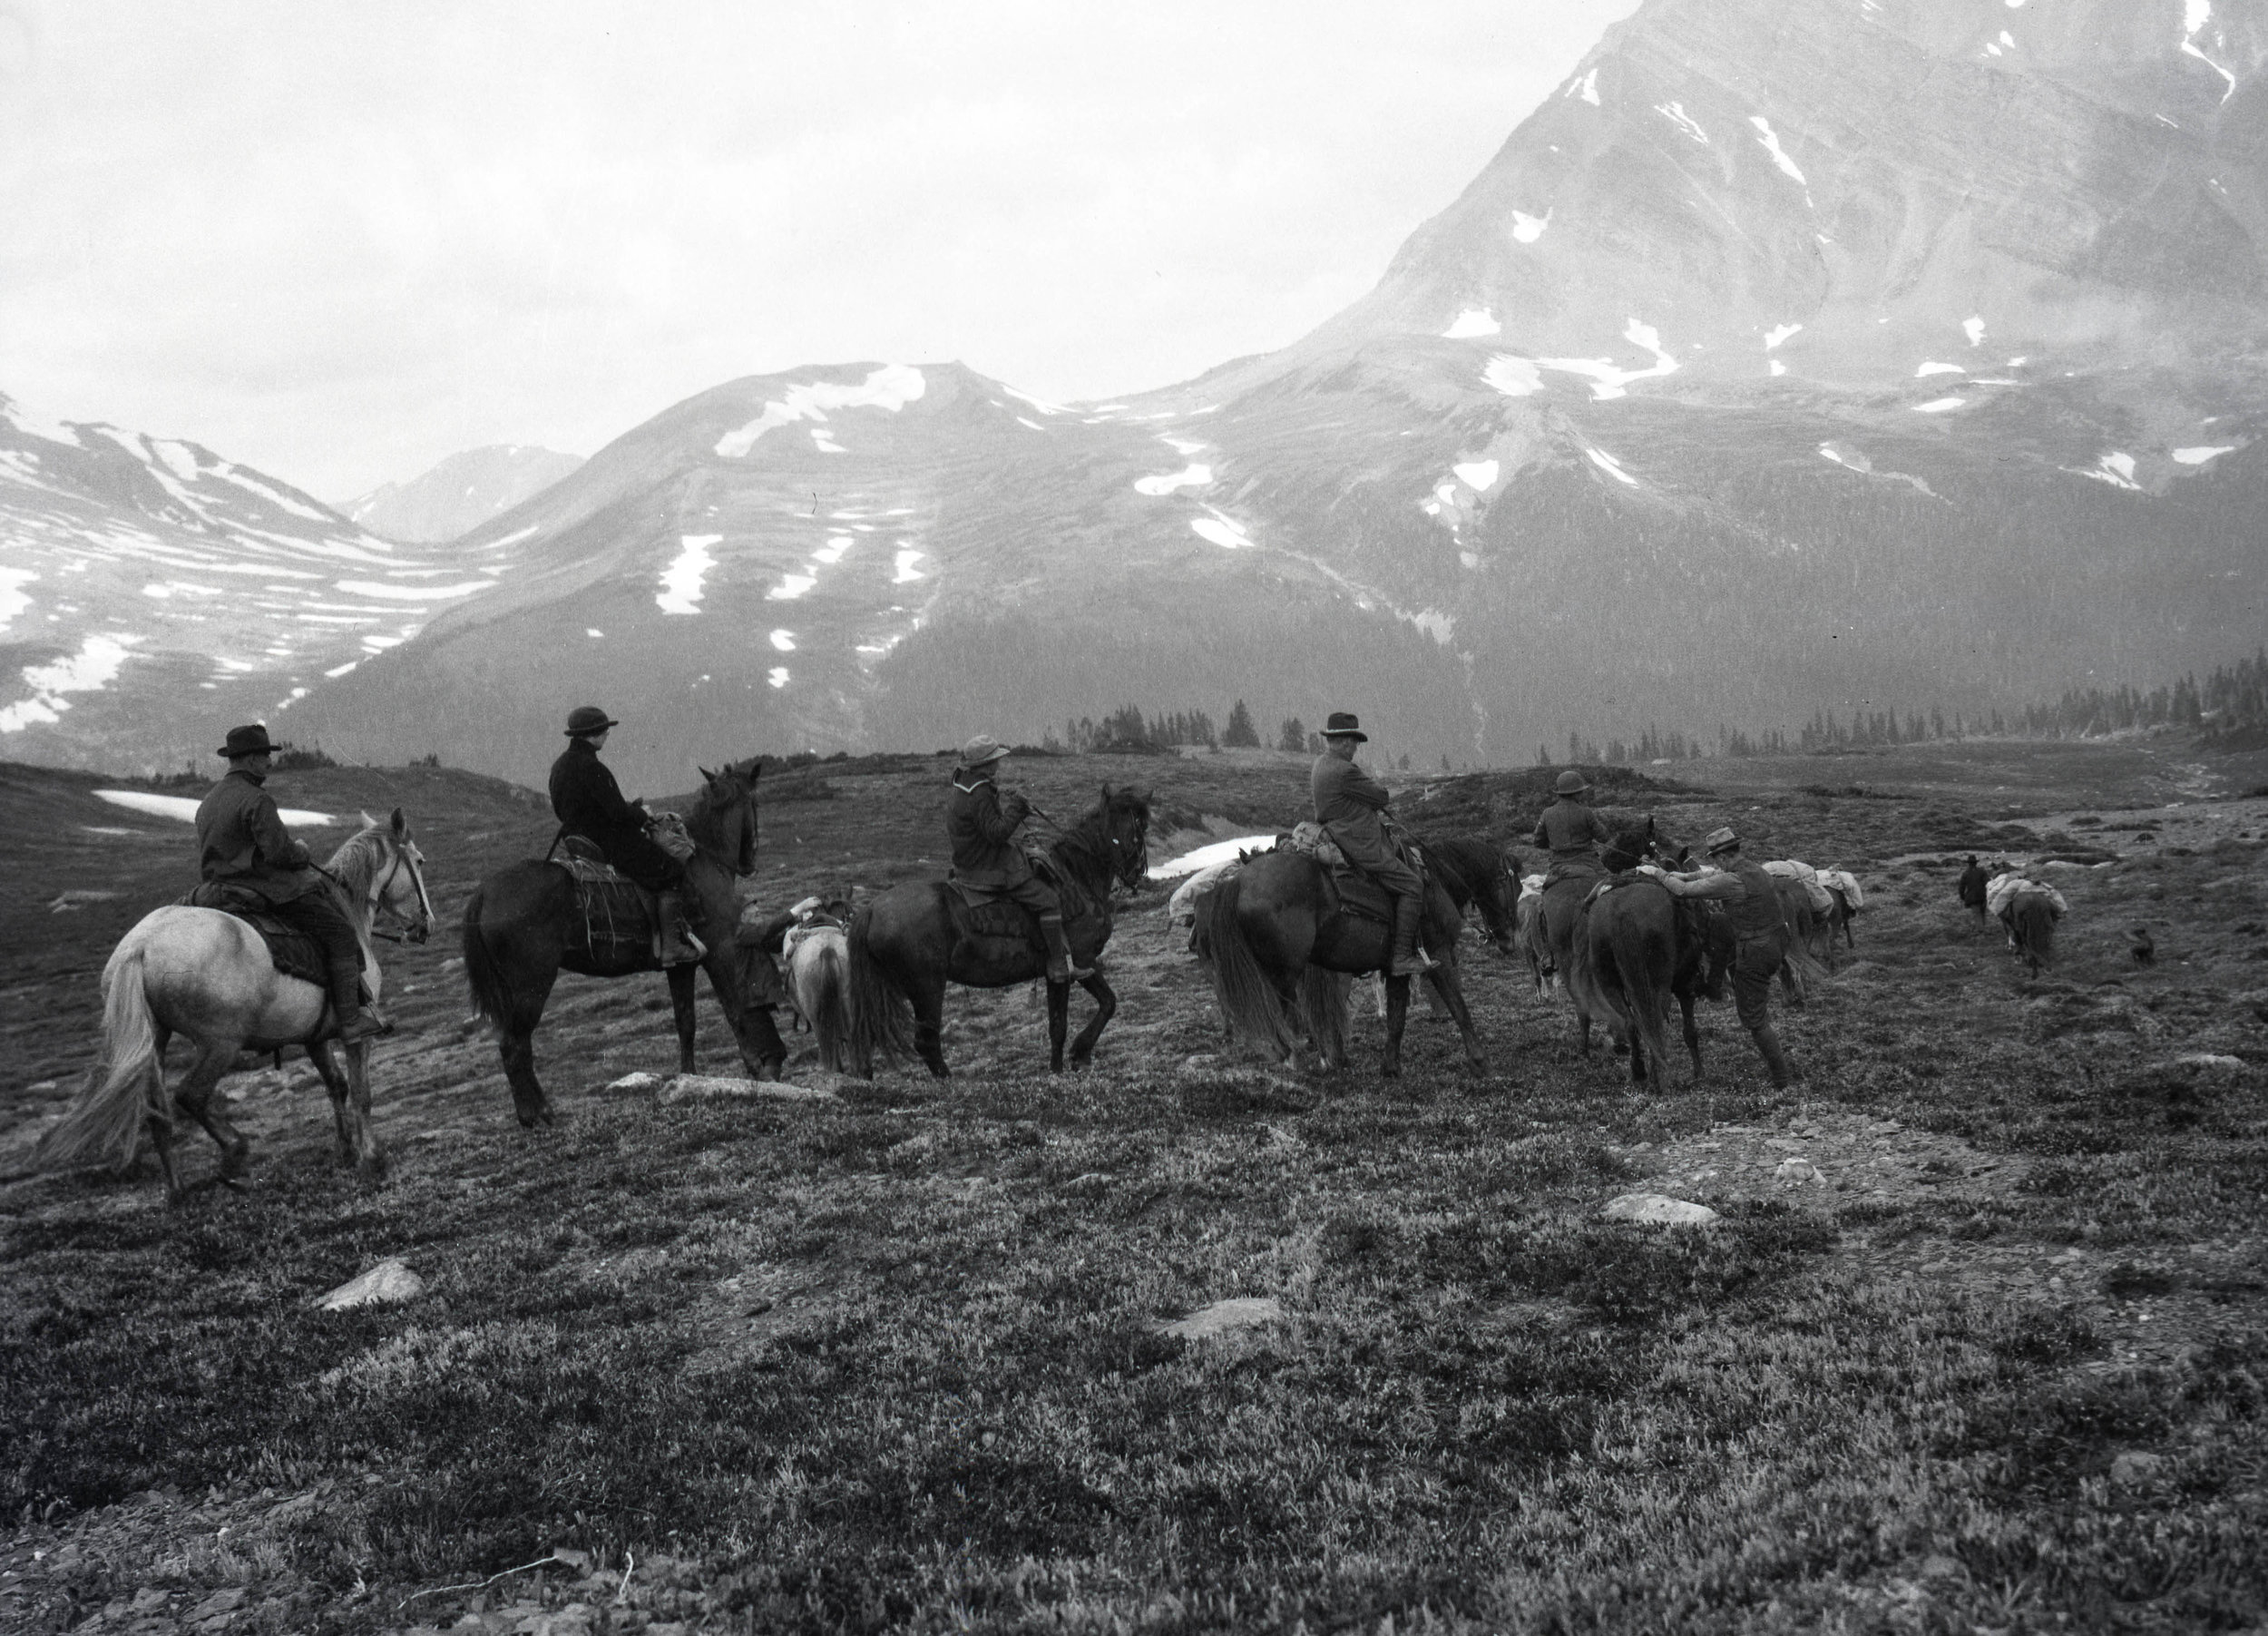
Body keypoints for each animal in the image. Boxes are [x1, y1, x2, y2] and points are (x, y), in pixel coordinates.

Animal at [34, 808, 433, 1198]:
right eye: (419, 861)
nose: (426, 925)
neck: (348, 912)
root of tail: (140, 947)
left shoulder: (315, 1037)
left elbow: (337, 1086)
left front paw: (347, 1151)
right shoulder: (358, 1033)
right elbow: (362, 1093)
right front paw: (372, 1159)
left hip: (156, 1041)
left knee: (157, 1112)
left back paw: (178, 1191)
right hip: (221, 1043)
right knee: (190, 1096)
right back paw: (234, 1156)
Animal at [455, 758, 785, 1125]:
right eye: (755, 804)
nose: (748, 862)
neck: (704, 860)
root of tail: (486, 892)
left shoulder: (681, 965)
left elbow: (686, 1022)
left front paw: (689, 1078)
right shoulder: (719, 954)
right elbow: (735, 1009)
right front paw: (755, 1066)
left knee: (512, 1044)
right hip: (530, 987)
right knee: (515, 1046)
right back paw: (539, 1114)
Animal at [844, 785, 1152, 1080]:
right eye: (1138, 828)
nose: (1137, 872)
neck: (1077, 878)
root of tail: (870, 911)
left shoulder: (1077, 967)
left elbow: (1105, 1003)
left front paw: (1078, 1057)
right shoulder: (1077, 963)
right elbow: (1065, 1023)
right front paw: (1063, 1065)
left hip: (886, 988)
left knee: (867, 1034)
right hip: (927, 987)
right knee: (925, 1041)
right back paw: (950, 1080)